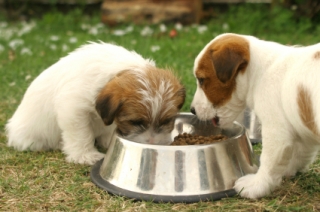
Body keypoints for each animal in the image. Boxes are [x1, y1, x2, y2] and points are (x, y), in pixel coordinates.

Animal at [5, 42, 185, 166]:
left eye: (167, 121)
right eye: (135, 122)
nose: (153, 143)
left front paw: (107, 141)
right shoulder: (73, 109)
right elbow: (81, 134)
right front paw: (85, 156)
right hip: (31, 139)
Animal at [190, 32, 320, 199]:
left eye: (201, 80)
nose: (192, 110)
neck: (259, 72)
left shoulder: (276, 132)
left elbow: (269, 161)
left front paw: (257, 185)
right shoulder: (301, 125)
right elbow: (300, 152)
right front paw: (287, 170)